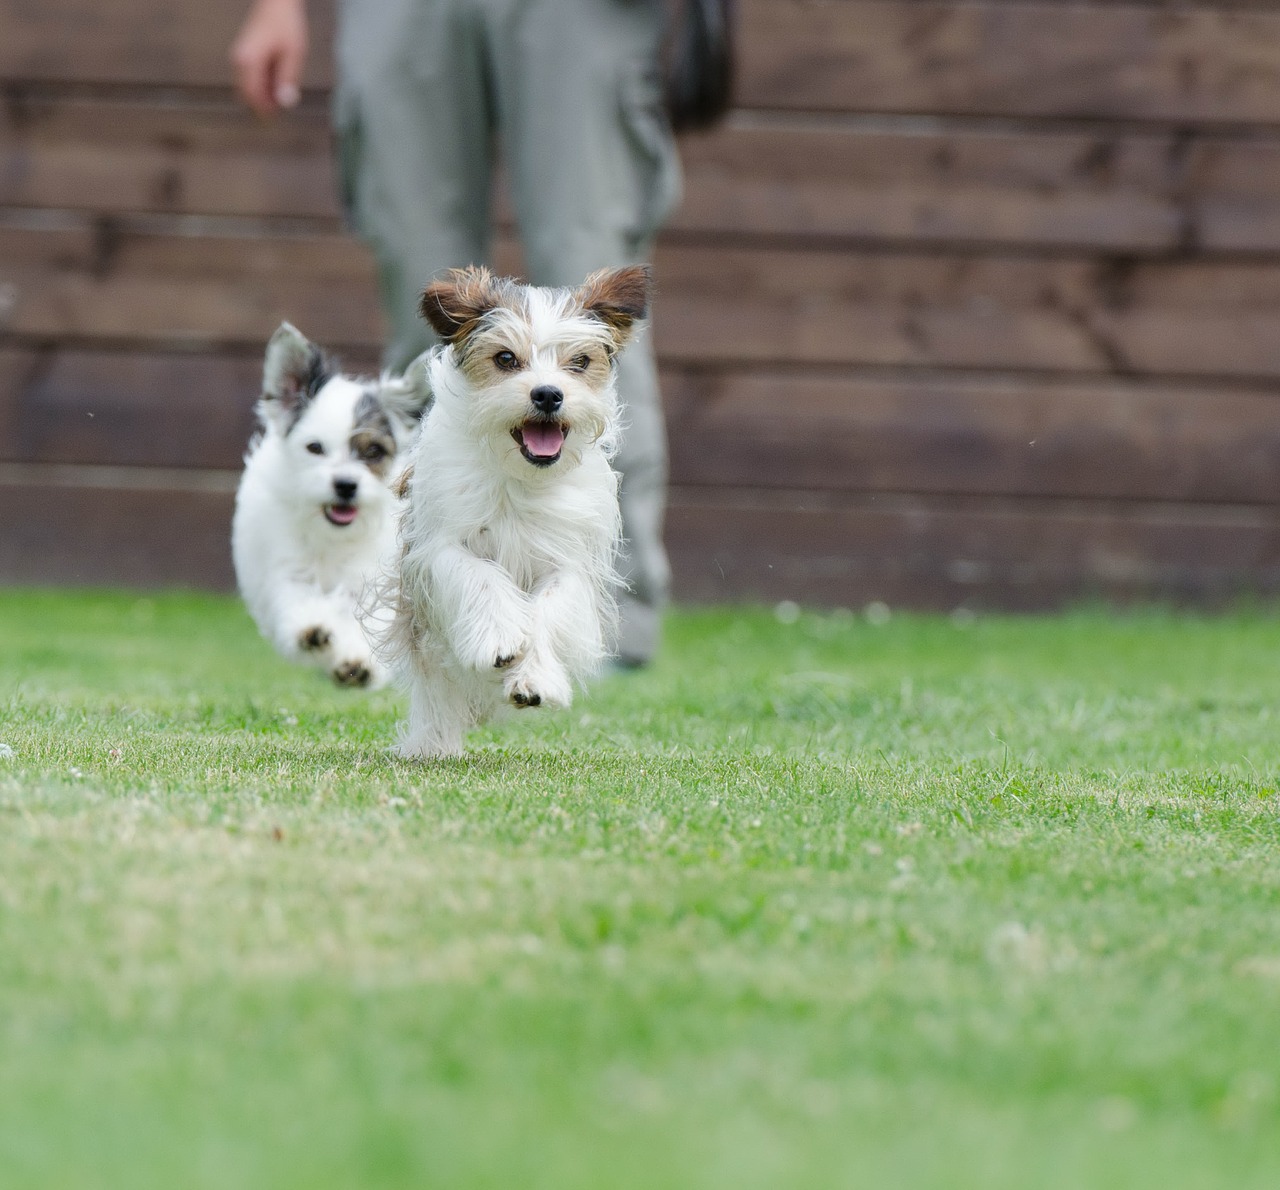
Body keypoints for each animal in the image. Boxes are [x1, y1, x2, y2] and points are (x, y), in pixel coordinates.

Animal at [389, 264, 650, 757]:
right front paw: (500, 639)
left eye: (579, 362)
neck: (521, 478)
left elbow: (548, 608)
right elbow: (481, 574)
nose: (547, 394)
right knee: (437, 682)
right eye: (506, 358)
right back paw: (434, 743)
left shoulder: (569, 561)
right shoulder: (439, 546)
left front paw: (534, 679)